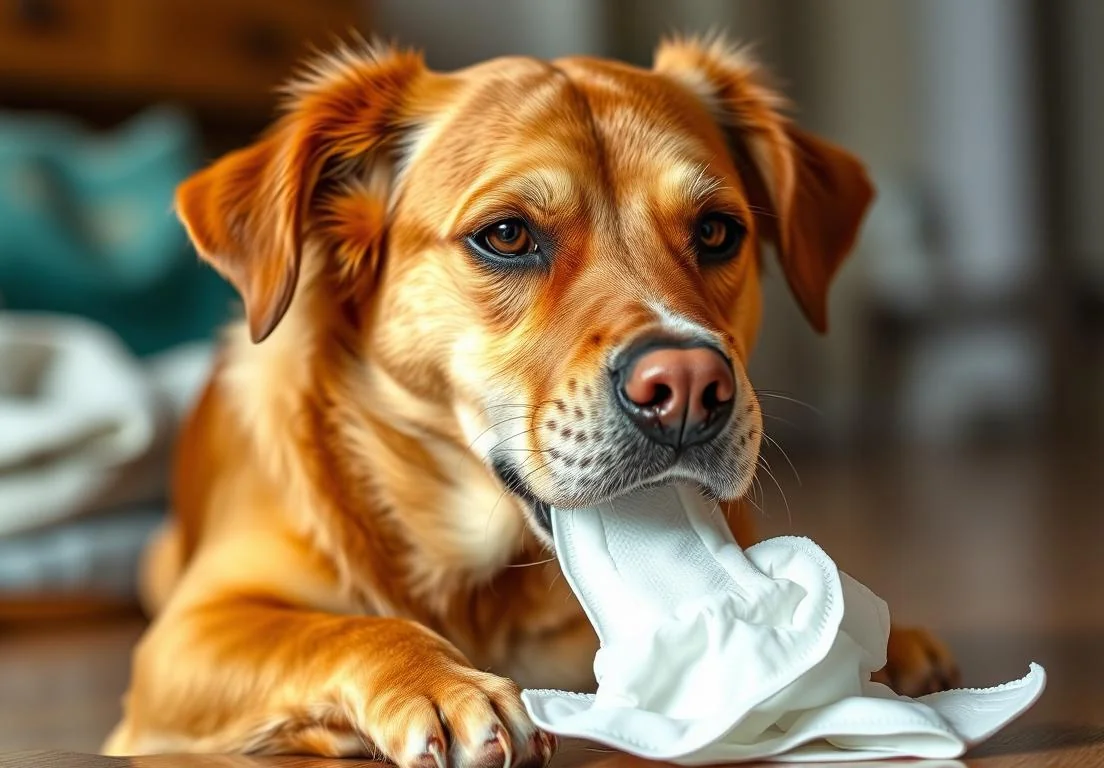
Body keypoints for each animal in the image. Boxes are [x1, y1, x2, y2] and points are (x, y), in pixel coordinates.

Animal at [107, 34, 962, 763]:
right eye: (508, 235)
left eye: (718, 231)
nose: (688, 388)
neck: (481, 584)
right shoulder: (187, 635)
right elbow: (341, 631)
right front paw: (441, 685)